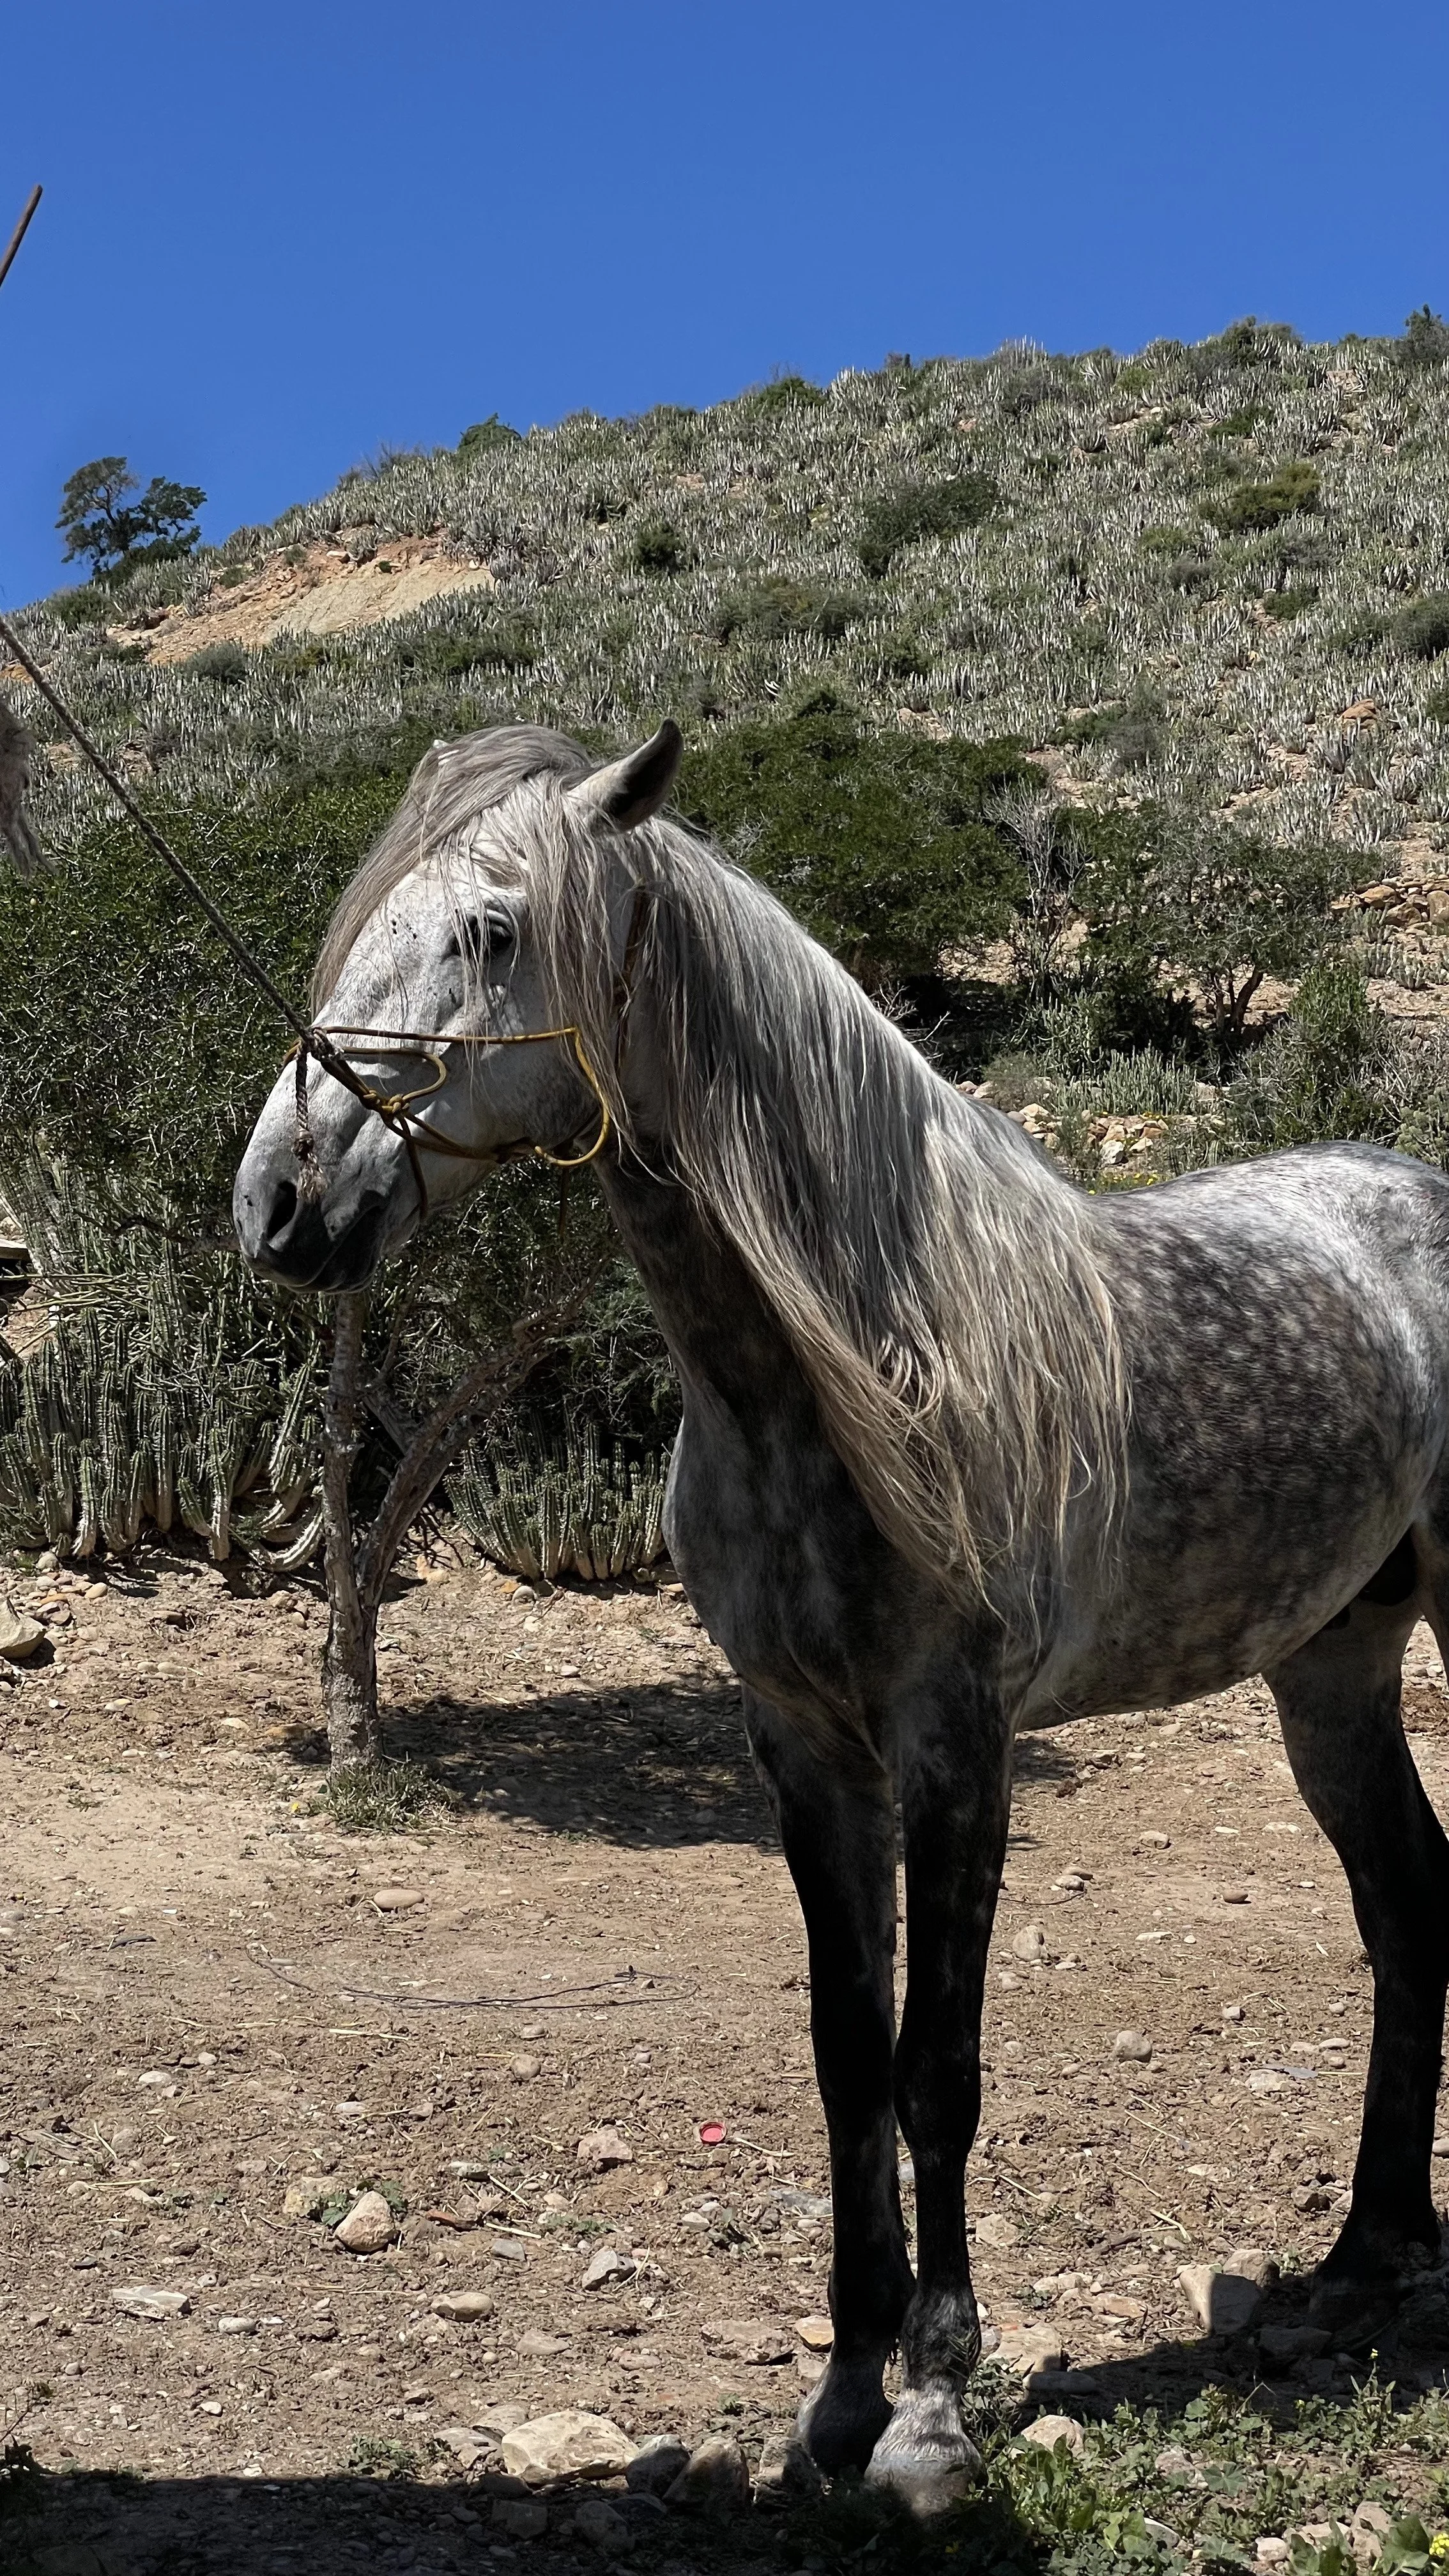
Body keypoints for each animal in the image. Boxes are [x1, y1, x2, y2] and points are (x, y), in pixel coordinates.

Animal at [235, 718, 1449, 2508]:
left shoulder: (957, 1750)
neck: (840, 1369)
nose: (281, 1198)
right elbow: (842, 2062)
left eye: (495, 931)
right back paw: (1372, 2249)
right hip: (1334, 1669)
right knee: (1407, 1905)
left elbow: (935, 2069)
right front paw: (841, 2399)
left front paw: (935, 2416)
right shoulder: (805, 1751)